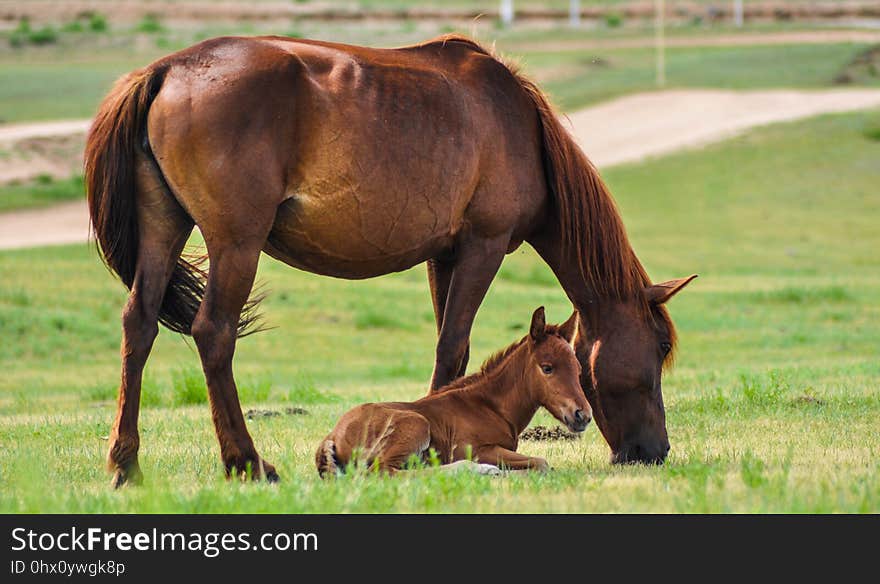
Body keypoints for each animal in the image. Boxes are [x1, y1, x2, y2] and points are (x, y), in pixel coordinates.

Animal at [316, 308, 592, 476]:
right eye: (547, 368)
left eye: (579, 369)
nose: (583, 416)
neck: (490, 407)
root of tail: (332, 436)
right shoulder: (477, 449)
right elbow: (542, 463)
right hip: (416, 425)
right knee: (386, 472)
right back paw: (478, 470)